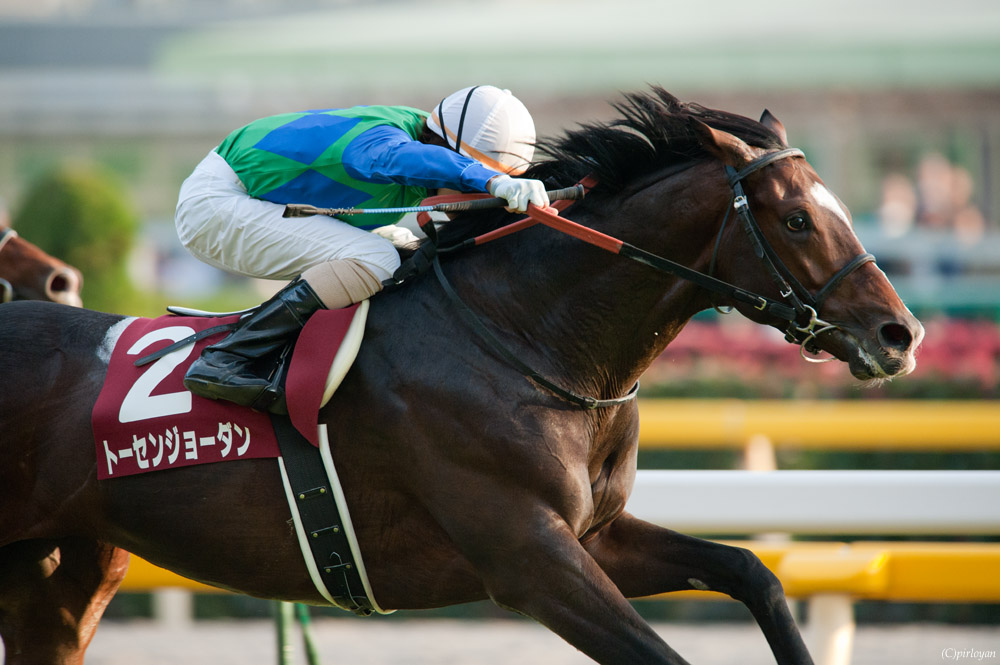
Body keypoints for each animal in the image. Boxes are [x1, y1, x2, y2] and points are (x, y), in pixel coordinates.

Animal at [0, 87, 922, 664]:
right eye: (797, 219)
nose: (901, 334)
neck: (526, 338)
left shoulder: (593, 537)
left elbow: (752, 573)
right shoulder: (528, 560)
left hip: (65, 579)